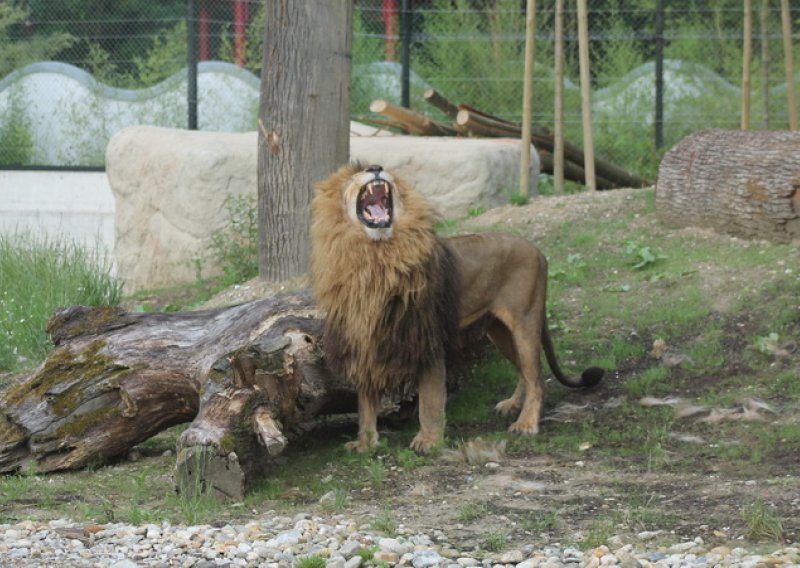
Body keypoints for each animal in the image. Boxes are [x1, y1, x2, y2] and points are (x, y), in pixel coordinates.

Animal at [310, 163, 604, 452]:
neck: (374, 254)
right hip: (499, 332)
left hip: (525, 322)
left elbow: (430, 399)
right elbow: (365, 403)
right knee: (527, 371)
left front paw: (428, 441)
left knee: (536, 378)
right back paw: (512, 405)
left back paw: (527, 423)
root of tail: (537, 250)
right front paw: (366, 444)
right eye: (354, 175)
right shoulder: (364, 339)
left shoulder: (427, 339)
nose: (375, 167)